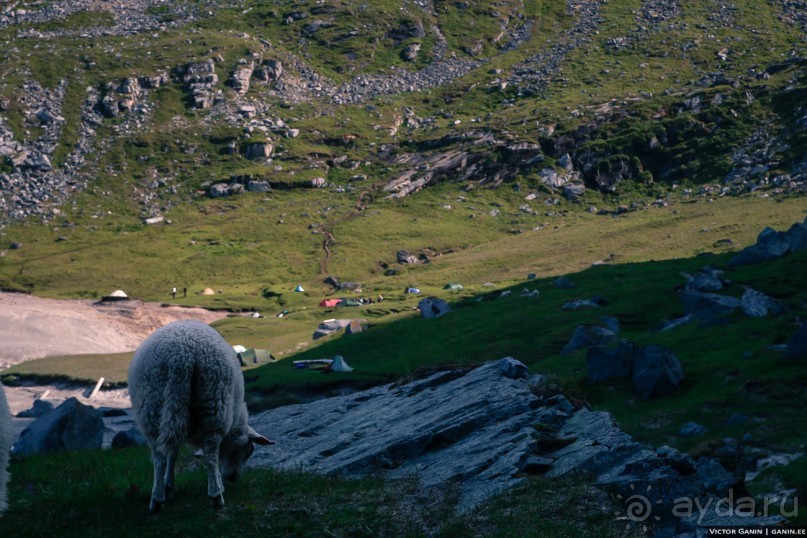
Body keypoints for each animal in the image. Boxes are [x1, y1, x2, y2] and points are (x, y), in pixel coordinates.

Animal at [128, 318, 274, 510]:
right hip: (213, 401)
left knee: (159, 456)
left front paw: (169, 485)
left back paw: (157, 500)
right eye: (250, 449)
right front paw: (219, 484)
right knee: (211, 453)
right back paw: (216, 496)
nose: (233, 477)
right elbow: (212, 455)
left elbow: (172, 453)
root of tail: (181, 357)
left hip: (152, 406)